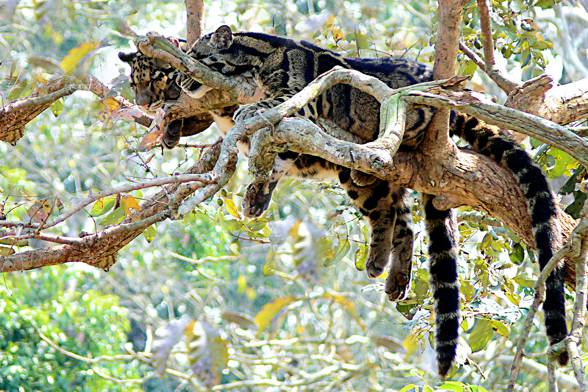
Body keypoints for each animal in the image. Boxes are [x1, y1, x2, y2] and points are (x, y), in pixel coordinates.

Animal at [172, 26, 568, 376]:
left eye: (196, 57)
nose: (178, 81)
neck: (258, 58)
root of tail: (455, 102)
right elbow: (268, 161)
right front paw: (256, 194)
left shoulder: (301, 104)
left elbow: (273, 110)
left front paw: (250, 114)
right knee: (400, 222)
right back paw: (387, 270)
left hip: (395, 124)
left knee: (394, 203)